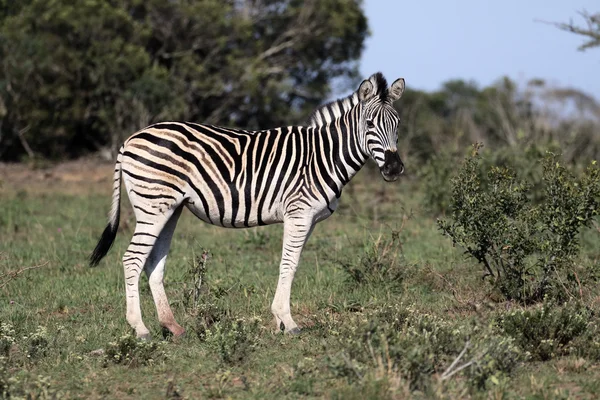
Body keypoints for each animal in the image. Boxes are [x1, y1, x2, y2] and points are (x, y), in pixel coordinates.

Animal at [89, 71, 406, 338]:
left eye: (398, 125)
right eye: (369, 124)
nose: (394, 169)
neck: (323, 156)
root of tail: (131, 139)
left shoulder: (310, 219)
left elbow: (293, 264)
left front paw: (279, 321)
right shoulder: (299, 213)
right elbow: (288, 263)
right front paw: (286, 321)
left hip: (170, 208)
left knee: (153, 261)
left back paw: (172, 326)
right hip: (153, 205)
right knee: (132, 259)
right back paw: (140, 328)